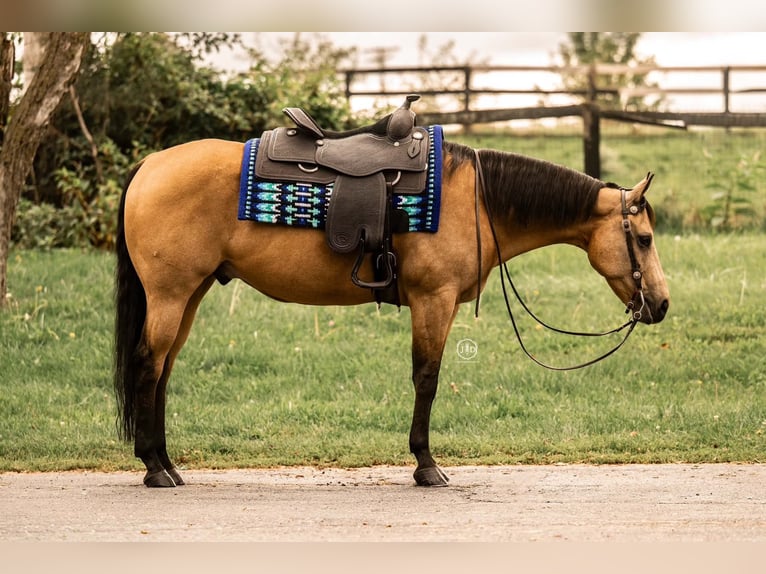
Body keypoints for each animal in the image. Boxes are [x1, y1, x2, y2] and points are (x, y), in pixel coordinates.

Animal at [113, 128, 670, 488]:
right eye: (643, 239)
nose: (661, 305)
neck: (477, 199)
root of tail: (149, 165)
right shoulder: (433, 300)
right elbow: (427, 378)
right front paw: (426, 465)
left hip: (190, 293)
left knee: (163, 370)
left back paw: (166, 463)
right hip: (171, 294)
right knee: (148, 365)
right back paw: (154, 468)